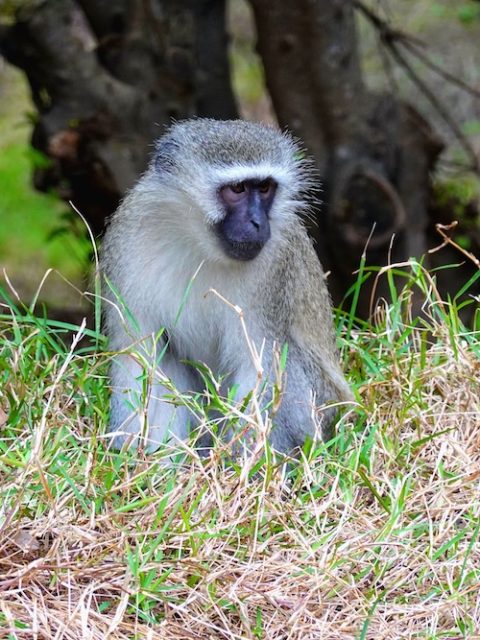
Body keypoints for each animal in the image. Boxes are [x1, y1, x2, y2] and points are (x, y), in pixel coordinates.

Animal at [101, 118, 352, 455]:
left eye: (265, 188)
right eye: (237, 189)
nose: (258, 223)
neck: (200, 244)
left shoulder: (275, 268)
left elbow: (259, 369)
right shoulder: (127, 244)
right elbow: (139, 358)